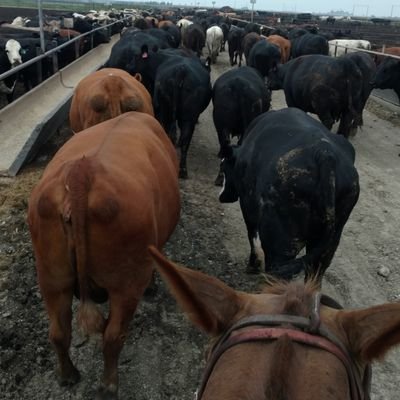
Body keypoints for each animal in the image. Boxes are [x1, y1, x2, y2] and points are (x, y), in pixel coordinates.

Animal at [27, 111, 180, 398]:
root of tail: (81, 173)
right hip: (126, 283)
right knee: (113, 336)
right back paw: (109, 385)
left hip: (52, 277)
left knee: (59, 332)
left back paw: (68, 375)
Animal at [219, 106, 360, 282]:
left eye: (223, 167)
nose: (222, 195)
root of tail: (324, 153)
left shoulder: (248, 203)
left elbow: (252, 235)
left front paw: (253, 266)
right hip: (328, 245)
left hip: (282, 243)